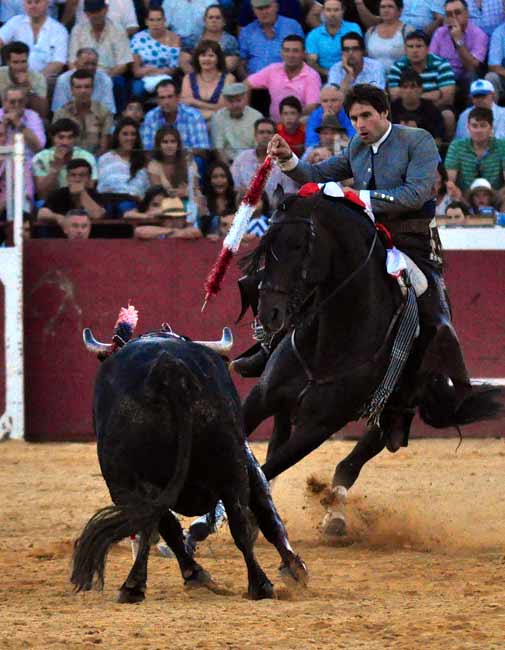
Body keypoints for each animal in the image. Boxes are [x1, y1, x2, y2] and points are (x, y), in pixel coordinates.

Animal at [70, 332, 308, 600]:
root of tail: (169, 367)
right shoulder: (248, 462)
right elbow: (266, 511)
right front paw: (295, 568)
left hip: (133, 482)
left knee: (153, 522)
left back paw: (134, 585)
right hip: (231, 465)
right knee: (240, 523)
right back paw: (261, 585)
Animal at [239, 187, 500, 516]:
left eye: (299, 245)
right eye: (265, 245)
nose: (269, 313)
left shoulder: (320, 426)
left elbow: (265, 470)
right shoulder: (262, 396)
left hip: (396, 408)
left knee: (355, 460)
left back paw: (335, 514)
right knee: (279, 437)